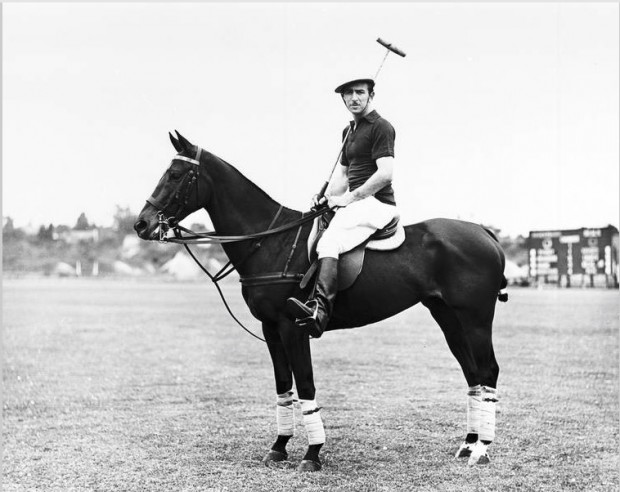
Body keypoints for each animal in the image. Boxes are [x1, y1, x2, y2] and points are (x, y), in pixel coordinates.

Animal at [134, 132, 508, 472]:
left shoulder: (293, 327)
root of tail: (485, 232)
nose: (141, 223)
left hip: (476, 316)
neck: (269, 242)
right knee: (473, 374)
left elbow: (305, 385)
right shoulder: (270, 327)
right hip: (447, 316)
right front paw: (279, 447)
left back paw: (482, 449)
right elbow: (283, 386)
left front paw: (312, 454)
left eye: (176, 175)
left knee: (489, 369)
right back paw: (468, 443)